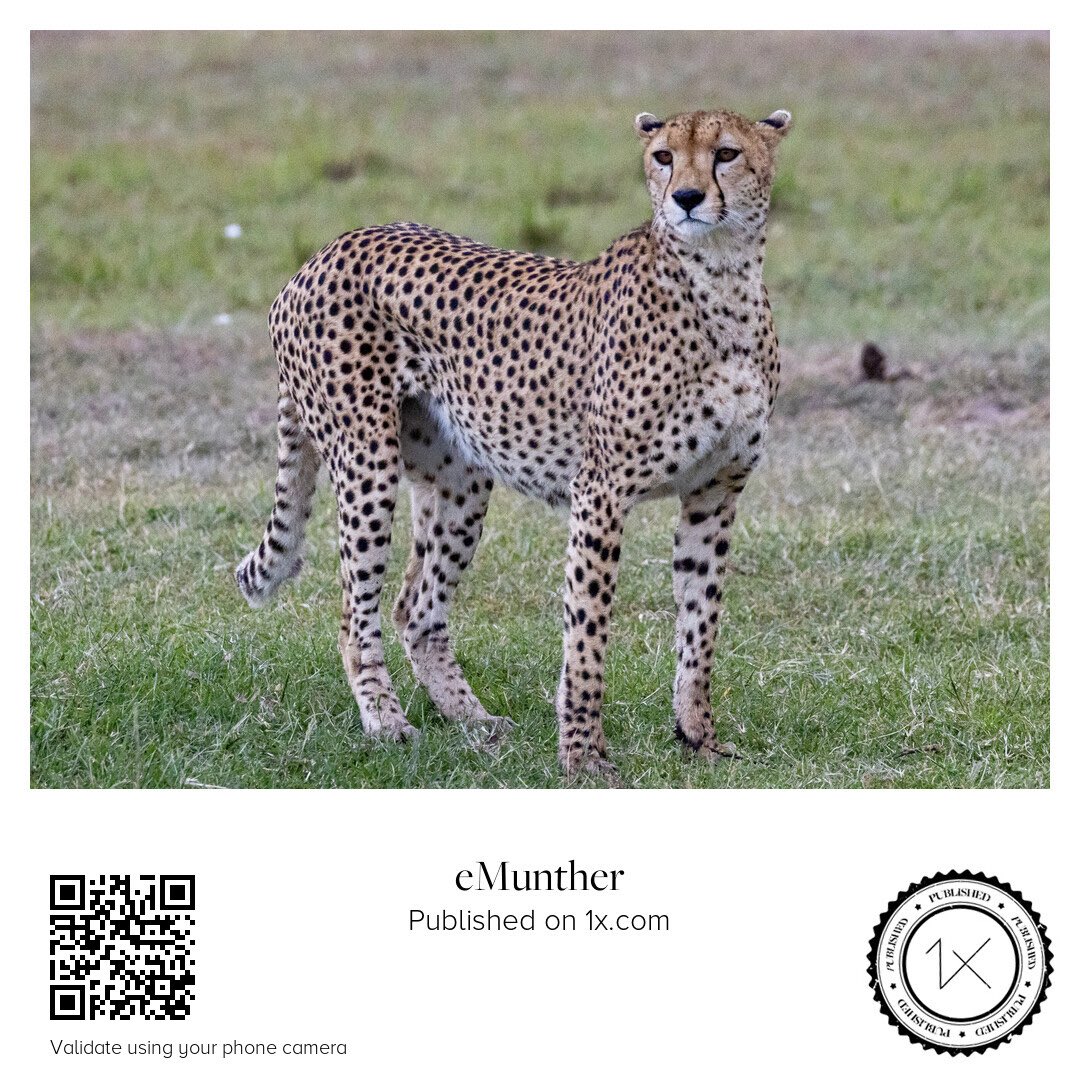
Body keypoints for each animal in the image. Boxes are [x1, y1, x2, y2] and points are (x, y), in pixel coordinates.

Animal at [236, 106, 793, 779]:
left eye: (727, 154)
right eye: (663, 156)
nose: (685, 198)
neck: (722, 279)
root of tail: (322, 254)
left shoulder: (714, 493)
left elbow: (700, 625)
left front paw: (698, 737)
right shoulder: (600, 490)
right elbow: (587, 633)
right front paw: (582, 757)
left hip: (460, 479)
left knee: (417, 610)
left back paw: (472, 721)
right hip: (368, 460)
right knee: (355, 616)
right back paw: (387, 724)